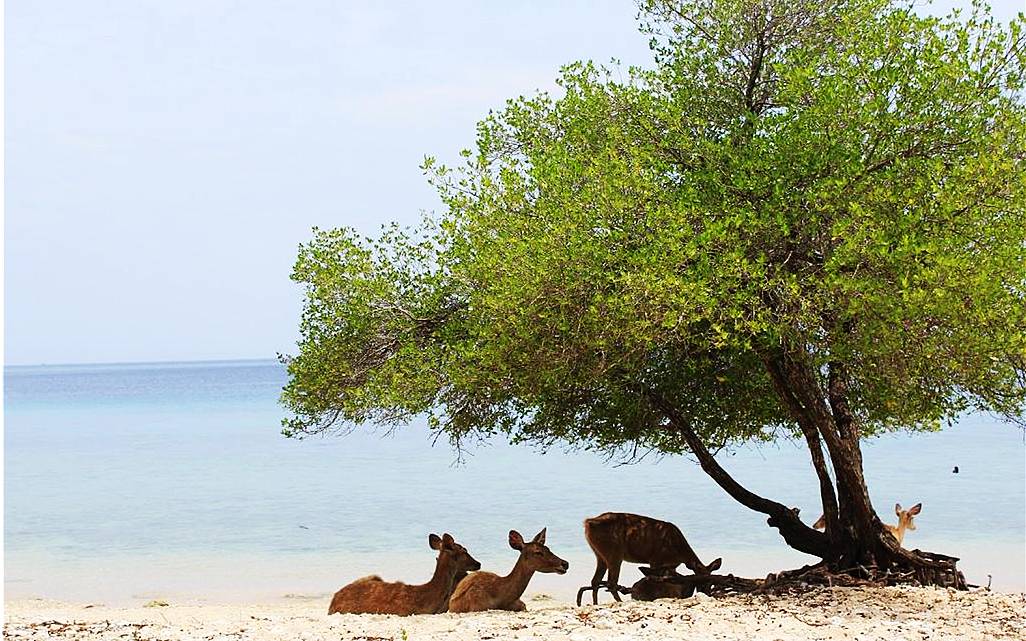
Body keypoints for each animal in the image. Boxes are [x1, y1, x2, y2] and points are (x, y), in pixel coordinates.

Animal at [578, 510, 722, 603]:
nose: (706, 593)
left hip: (599, 554)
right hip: (614, 552)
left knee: (595, 581)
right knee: (610, 582)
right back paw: (620, 602)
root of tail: (588, 523)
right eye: (699, 581)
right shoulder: (655, 558)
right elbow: (652, 577)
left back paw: (596, 604)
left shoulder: (671, 566)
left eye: (711, 581)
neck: (678, 551)